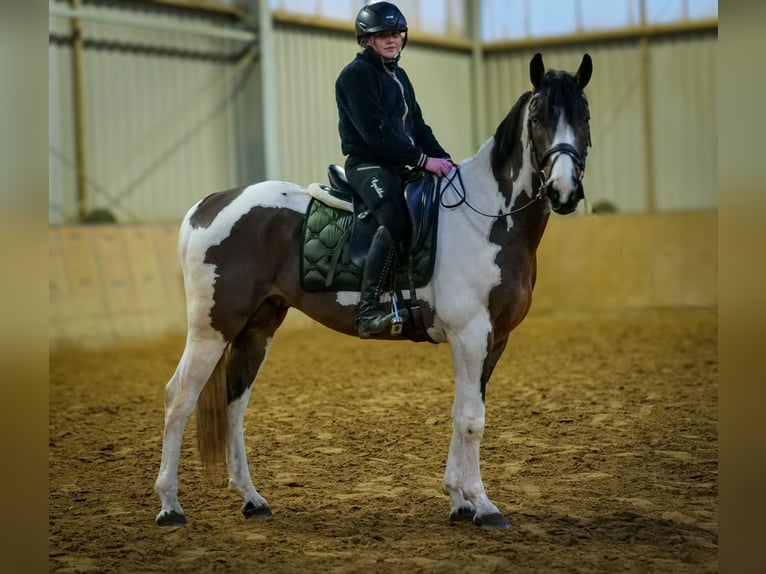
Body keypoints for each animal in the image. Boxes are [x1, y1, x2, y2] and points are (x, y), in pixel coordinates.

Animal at [152, 53, 592, 532]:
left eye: (583, 116)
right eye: (538, 116)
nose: (564, 191)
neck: (488, 217)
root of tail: (208, 205)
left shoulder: (494, 340)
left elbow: (462, 412)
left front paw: (458, 500)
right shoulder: (471, 334)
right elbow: (472, 419)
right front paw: (483, 504)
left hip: (257, 327)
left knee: (234, 404)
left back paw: (252, 499)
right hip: (212, 328)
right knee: (180, 397)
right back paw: (170, 506)